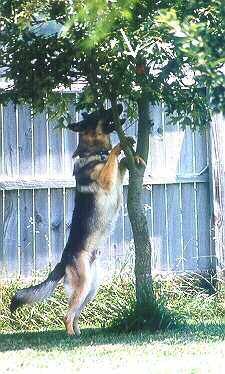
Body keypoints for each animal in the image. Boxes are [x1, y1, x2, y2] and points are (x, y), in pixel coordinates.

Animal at [10, 104, 134, 336]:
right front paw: (120, 146)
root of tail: (64, 259)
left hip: (91, 288)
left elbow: (121, 163)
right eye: (100, 112)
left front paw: (135, 156)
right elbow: (113, 156)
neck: (95, 153)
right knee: (67, 315)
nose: (120, 105)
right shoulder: (106, 179)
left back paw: (78, 333)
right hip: (83, 285)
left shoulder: (116, 177)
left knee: (75, 314)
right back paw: (70, 337)